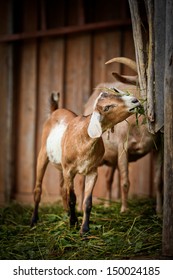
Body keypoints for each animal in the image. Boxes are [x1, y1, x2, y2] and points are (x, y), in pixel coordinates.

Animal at [30, 89, 141, 234]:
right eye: (107, 107)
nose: (135, 100)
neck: (83, 137)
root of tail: (55, 110)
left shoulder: (92, 171)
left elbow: (87, 202)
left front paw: (84, 229)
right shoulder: (69, 171)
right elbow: (72, 198)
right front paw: (73, 222)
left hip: (61, 166)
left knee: (62, 189)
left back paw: (66, 213)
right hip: (43, 154)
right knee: (38, 189)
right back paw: (34, 220)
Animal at [79, 57, 163, 214]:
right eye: (138, 85)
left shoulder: (158, 147)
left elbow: (158, 181)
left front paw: (159, 211)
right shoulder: (123, 147)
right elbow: (125, 181)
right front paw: (124, 210)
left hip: (110, 158)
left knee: (108, 178)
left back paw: (107, 205)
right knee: (82, 181)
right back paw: (79, 208)